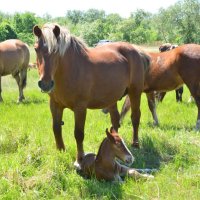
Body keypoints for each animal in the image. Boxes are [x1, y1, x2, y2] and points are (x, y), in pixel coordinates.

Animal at [32, 23, 149, 164]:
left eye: (55, 50)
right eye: (36, 49)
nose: (45, 83)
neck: (71, 70)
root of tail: (137, 51)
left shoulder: (80, 108)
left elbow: (78, 133)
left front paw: (80, 159)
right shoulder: (55, 105)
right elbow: (56, 129)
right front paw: (61, 152)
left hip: (135, 92)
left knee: (135, 117)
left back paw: (135, 144)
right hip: (112, 97)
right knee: (115, 120)